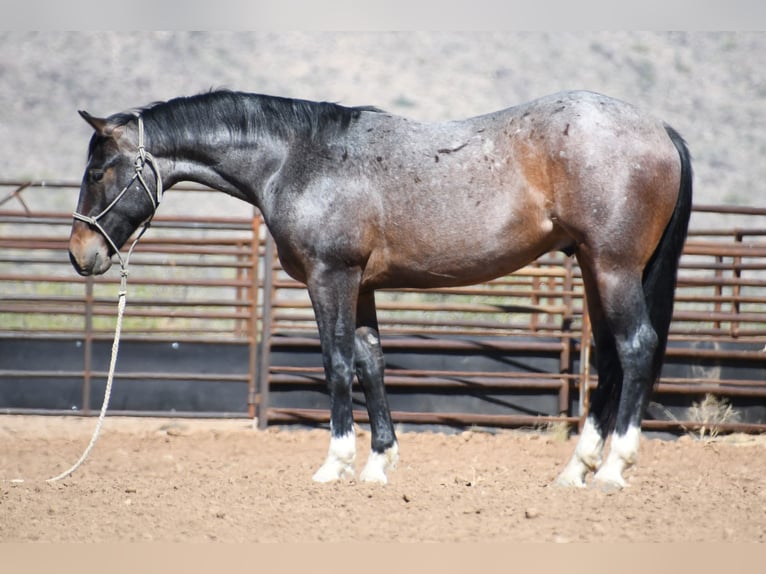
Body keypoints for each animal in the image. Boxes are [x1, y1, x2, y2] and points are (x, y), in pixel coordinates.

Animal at [68, 89, 692, 489]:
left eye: (98, 172)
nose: (80, 253)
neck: (298, 158)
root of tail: (659, 128)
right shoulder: (361, 285)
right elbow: (370, 362)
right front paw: (377, 464)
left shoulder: (331, 277)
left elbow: (337, 363)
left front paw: (335, 464)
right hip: (594, 267)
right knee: (609, 359)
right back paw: (576, 469)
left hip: (612, 266)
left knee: (636, 347)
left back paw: (613, 468)